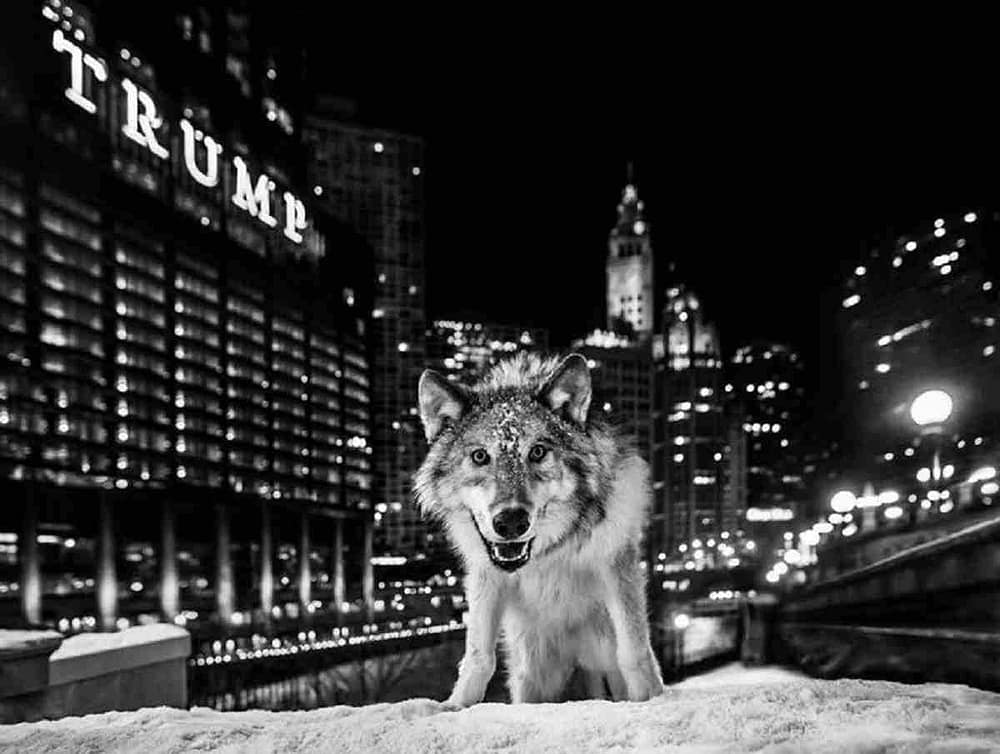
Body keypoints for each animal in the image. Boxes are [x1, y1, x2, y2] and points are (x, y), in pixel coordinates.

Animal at [414, 352, 664, 706]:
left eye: (537, 452)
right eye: (480, 456)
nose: (510, 521)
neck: (548, 554)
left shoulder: (616, 561)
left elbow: (634, 648)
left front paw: (650, 697)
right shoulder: (486, 575)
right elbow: (478, 655)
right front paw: (456, 705)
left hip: (599, 652)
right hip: (534, 671)